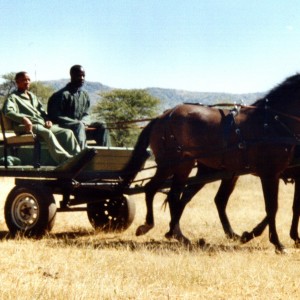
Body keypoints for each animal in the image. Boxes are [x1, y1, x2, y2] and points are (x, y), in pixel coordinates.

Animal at [122, 73, 300, 253]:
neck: (273, 123)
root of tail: (162, 116)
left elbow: (290, 207)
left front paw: (287, 238)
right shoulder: (270, 174)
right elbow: (273, 208)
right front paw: (277, 243)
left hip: (187, 167)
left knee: (177, 196)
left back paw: (178, 234)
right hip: (170, 164)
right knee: (152, 189)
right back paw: (149, 226)